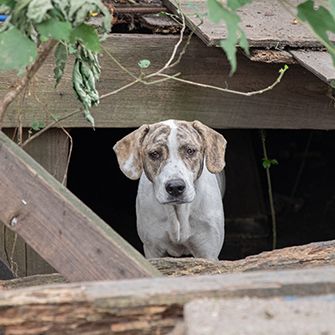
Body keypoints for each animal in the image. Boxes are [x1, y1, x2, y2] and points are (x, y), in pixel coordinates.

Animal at [113, 119, 228, 262]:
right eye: (154, 154)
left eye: (190, 150)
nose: (175, 187)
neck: (177, 213)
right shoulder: (153, 250)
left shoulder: (208, 251)